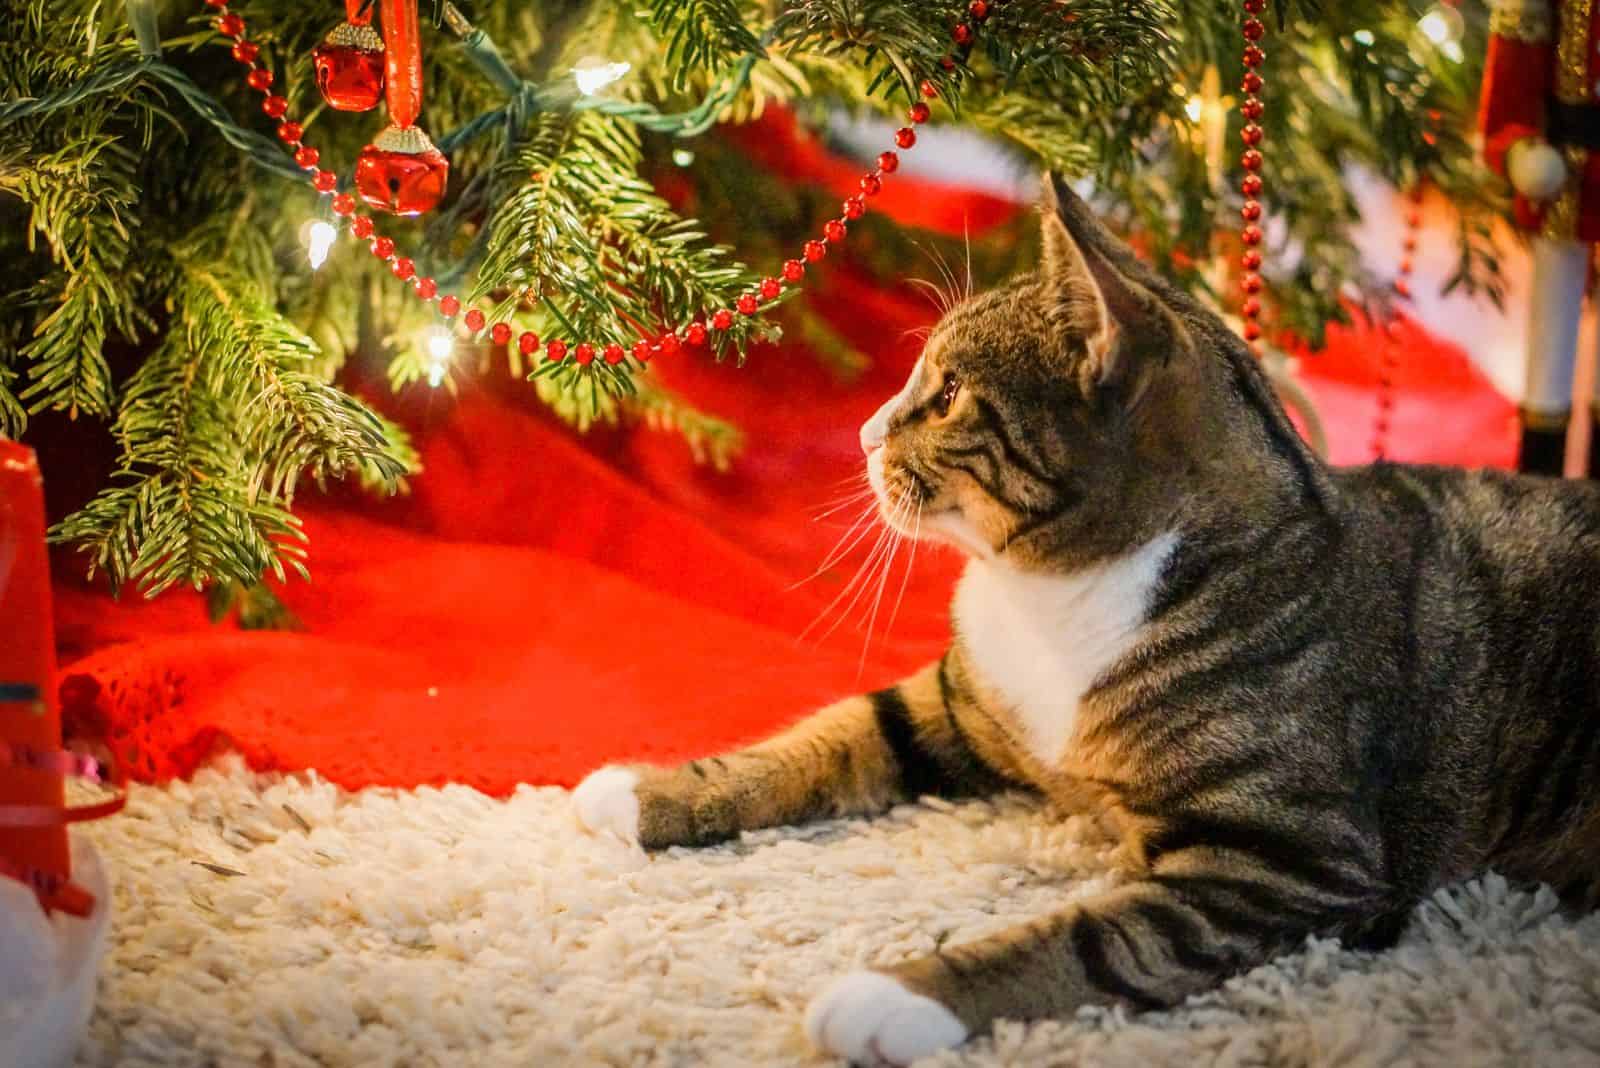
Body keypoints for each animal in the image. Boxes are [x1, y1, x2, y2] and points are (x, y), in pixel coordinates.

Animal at [572, 175, 1600, 1061]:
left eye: (948, 393)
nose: (862, 435)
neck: (1049, 598)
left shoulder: (1283, 860)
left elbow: (1086, 941)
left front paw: (897, 995)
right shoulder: (956, 706)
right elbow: (824, 736)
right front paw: (642, 791)